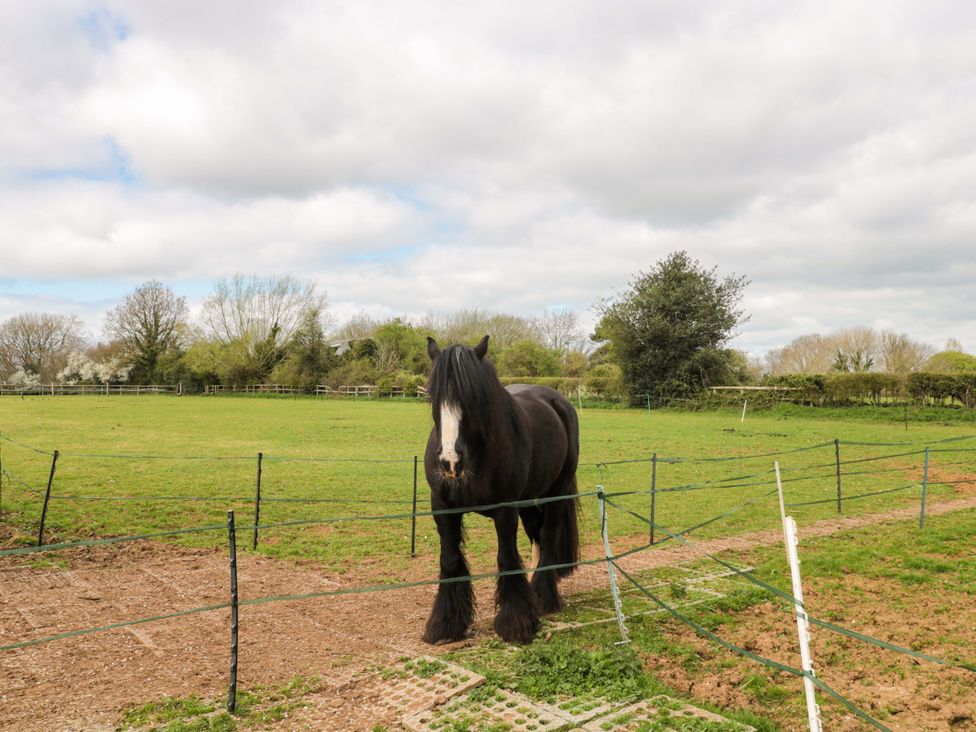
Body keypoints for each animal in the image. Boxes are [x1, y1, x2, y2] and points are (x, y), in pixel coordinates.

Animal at [421, 335, 580, 644]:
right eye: (433, 395)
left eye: (472, 396)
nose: (450, 461)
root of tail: (558, 401)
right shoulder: (443, 508)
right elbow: (449, 559)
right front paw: (446, 624)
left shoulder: (505, 510)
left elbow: (506, 558)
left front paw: (515, 623)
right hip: (529, 500)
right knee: (537, 536)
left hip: (557, 489)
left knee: (548, 535)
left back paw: (543, 596)